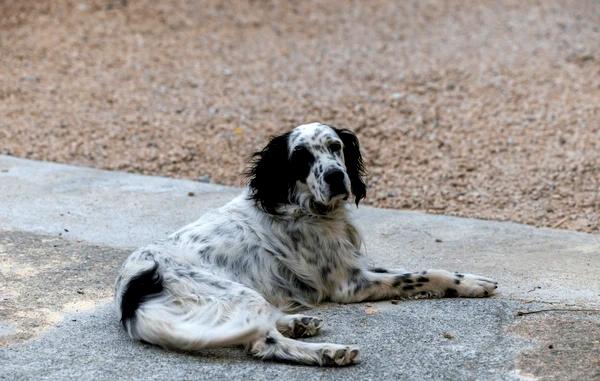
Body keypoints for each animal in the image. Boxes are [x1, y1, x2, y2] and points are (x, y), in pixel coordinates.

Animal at [113, 121, 496, 366]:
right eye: (301, 157)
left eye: (335, 147)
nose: (336, 177)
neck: (302, 207)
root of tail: (131, 292)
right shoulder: (349, 283)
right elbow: (419, 275)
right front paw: (471, 284)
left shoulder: (354, 264)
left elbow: (424, 270)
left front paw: (471, 279)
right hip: (235, 292)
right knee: (262, 342)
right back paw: (327, 352)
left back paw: (298, 323)